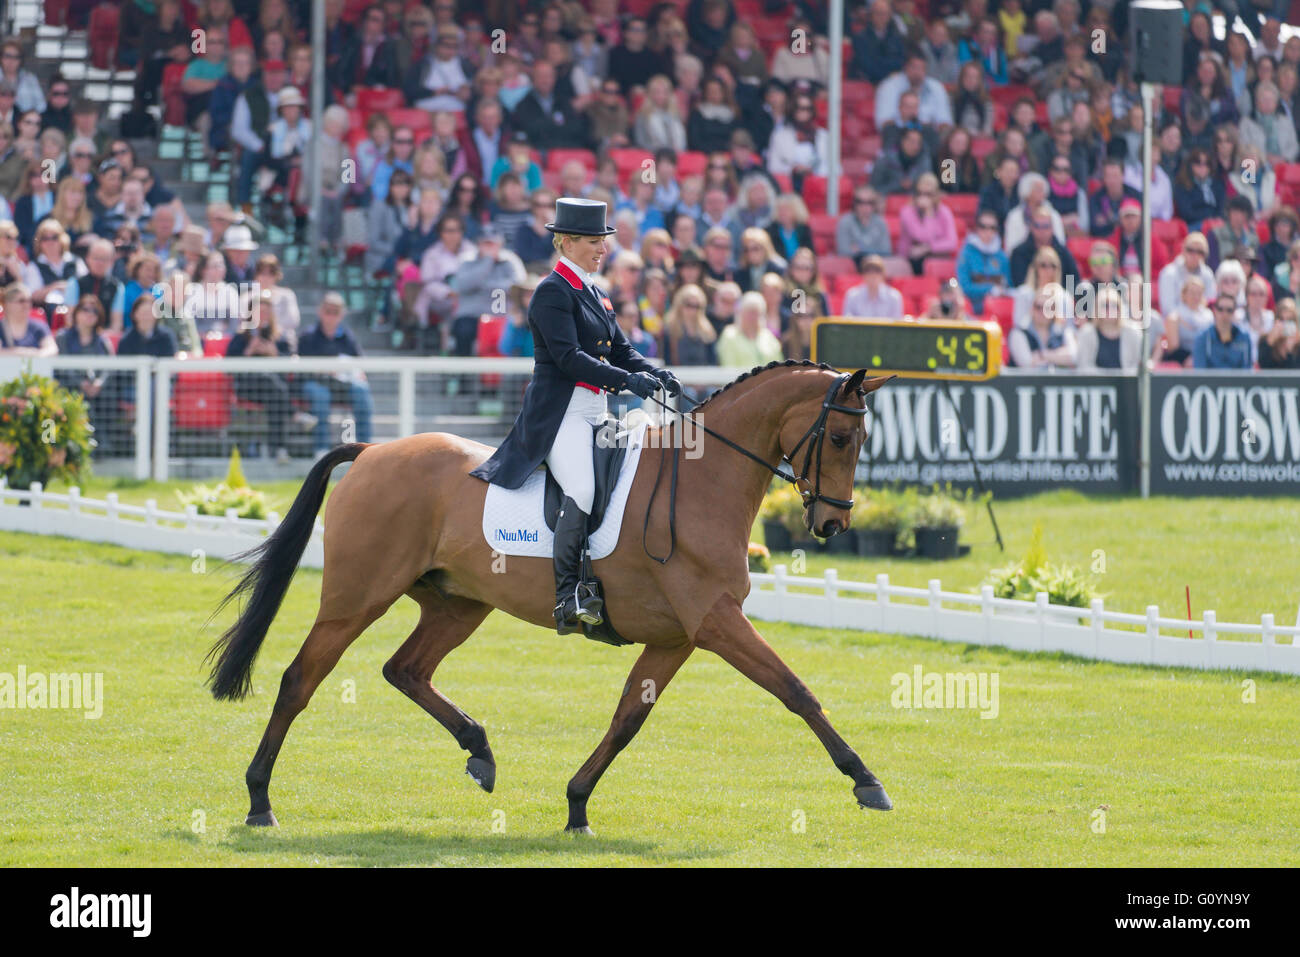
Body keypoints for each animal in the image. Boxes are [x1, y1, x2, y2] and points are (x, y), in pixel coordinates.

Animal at [208, 358, 894, 832]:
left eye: (863, 442)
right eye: (838, 439)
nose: (833, 525)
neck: (704, 477)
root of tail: (375, 451)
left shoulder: (678, 636)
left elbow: (627, 718)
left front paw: (577, 806)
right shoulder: (716, 622)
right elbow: (795, 691)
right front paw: (867, 781)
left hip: (459, 604)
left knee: (405, 669)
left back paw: (480, 752)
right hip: (357, 597)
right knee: (300, 679)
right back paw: (259, 800)